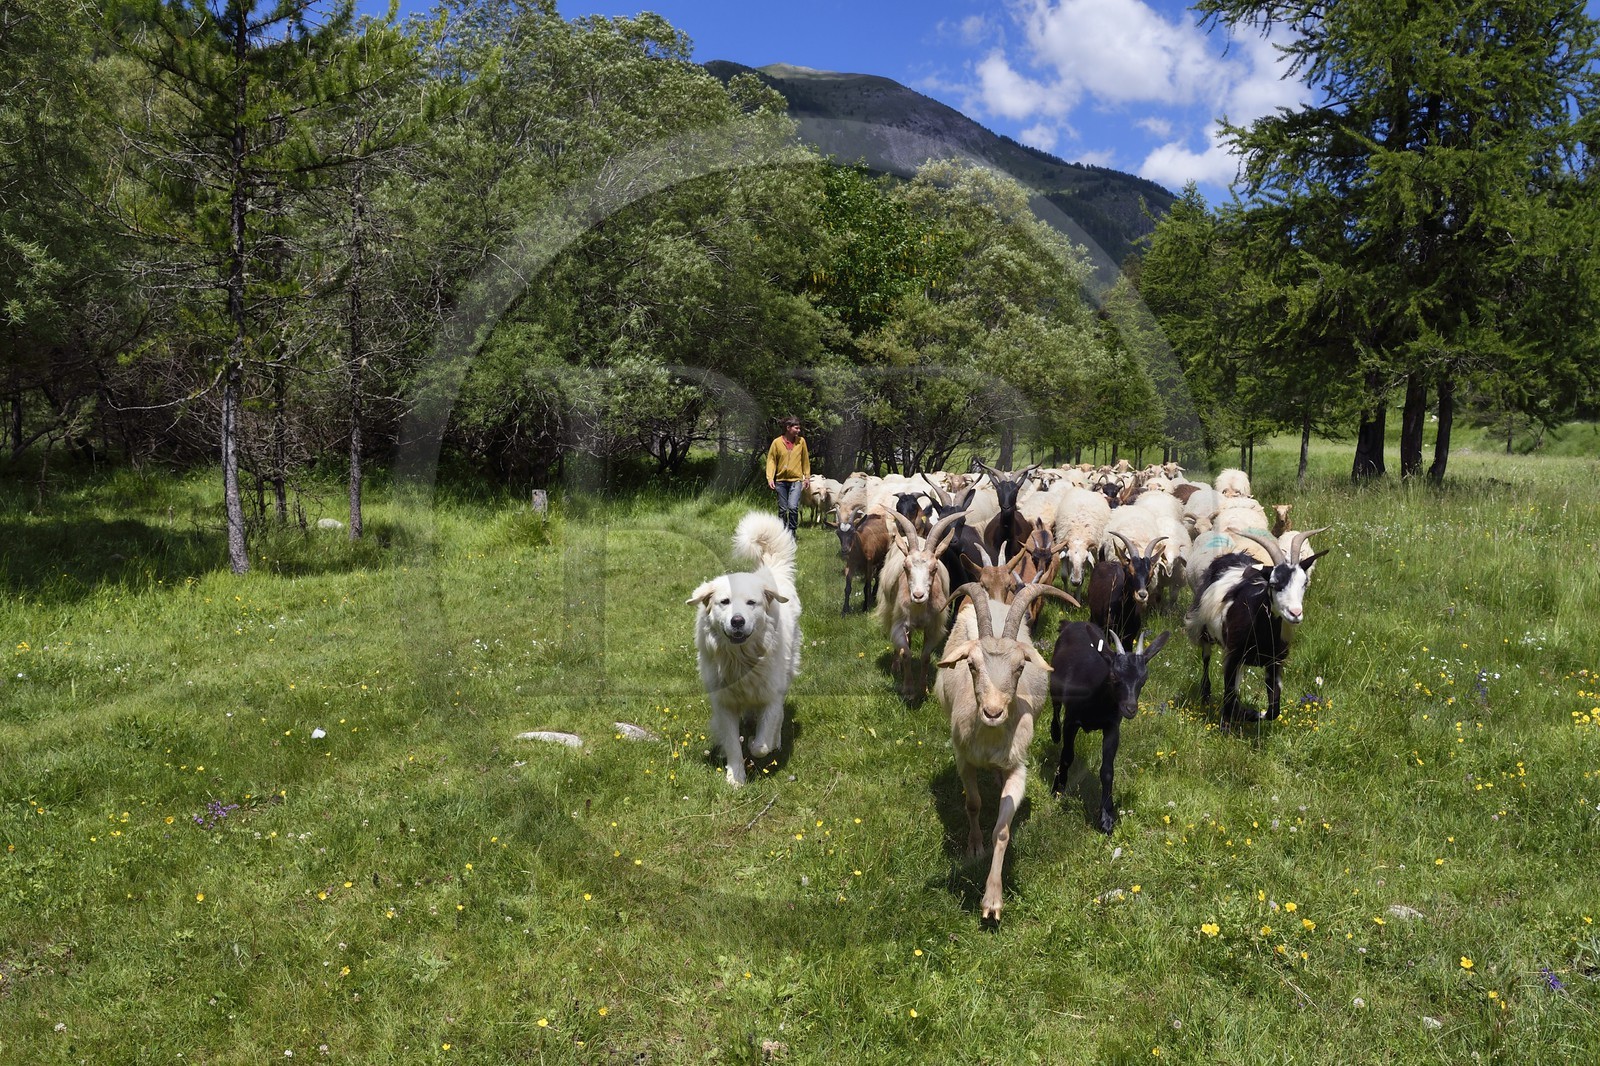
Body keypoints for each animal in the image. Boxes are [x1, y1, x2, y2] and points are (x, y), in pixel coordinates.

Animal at [876, 510, 965, 699]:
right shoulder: (900, 623)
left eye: (934, 569)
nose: (918, 595)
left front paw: (923, 689)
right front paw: (909, 690)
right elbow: (906, 653)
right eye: (905, 566)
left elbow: (925, 657)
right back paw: (896, 666)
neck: (918, 610)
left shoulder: (934, 627)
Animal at [937, 581, 1080, 922]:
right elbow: (973, 803)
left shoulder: (1019, 767)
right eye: (972, 665)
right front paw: (974, 847)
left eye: (1019, 666)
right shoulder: (963, 759)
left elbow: (1002, 830)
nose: (992, 712)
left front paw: (992, 901)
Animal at [1049, 624, 1171, 832]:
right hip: (1055, 684)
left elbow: (1107, 770)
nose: (1130, 708)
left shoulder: (1112, 727)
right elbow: (1067, 756)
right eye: (1114, 675)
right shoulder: (1071, 721)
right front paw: (1058, 789)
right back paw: (1054, 733)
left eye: (1144, 679)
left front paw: (1106, 818)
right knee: (1056, 706)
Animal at [1185, 528, 1330, 723]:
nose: (1295, 613)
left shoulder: (1274, 663)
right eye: (1274, 584)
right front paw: (1231, 720)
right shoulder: (1232, 655)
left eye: (1304, 583)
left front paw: (1250, 713)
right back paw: (1206, 695)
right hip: (1203, 628)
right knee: (1206, 658)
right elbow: (1228, 696)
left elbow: (1273, 710)